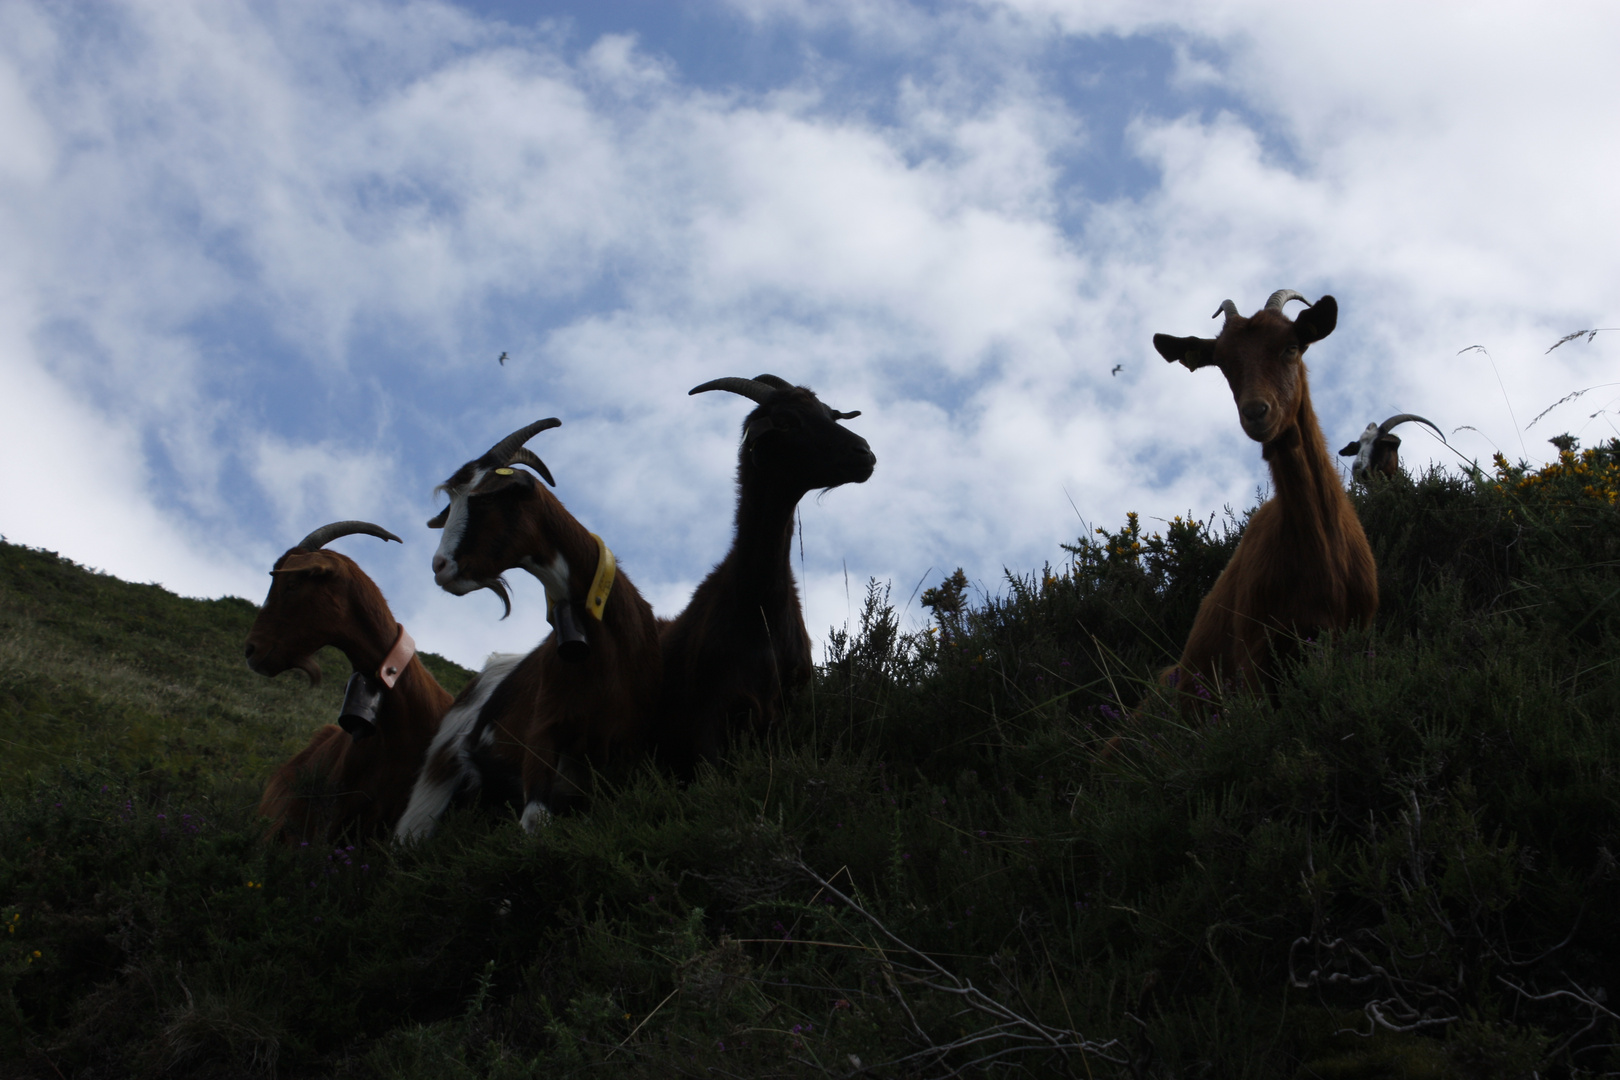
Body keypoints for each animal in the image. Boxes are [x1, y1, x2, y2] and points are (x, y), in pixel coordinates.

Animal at [398, 414, 664, 835]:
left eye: (486, 498)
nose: (440, 567)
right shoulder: (543, 730)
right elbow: (535, 821)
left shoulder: (630, 742)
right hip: (440, 773)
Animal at [657, 375, 881, 773]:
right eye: (787, 422)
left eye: (830, 414)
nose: (864, 453)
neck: (758, 604)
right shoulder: (711, 717)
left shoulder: (782, 714)